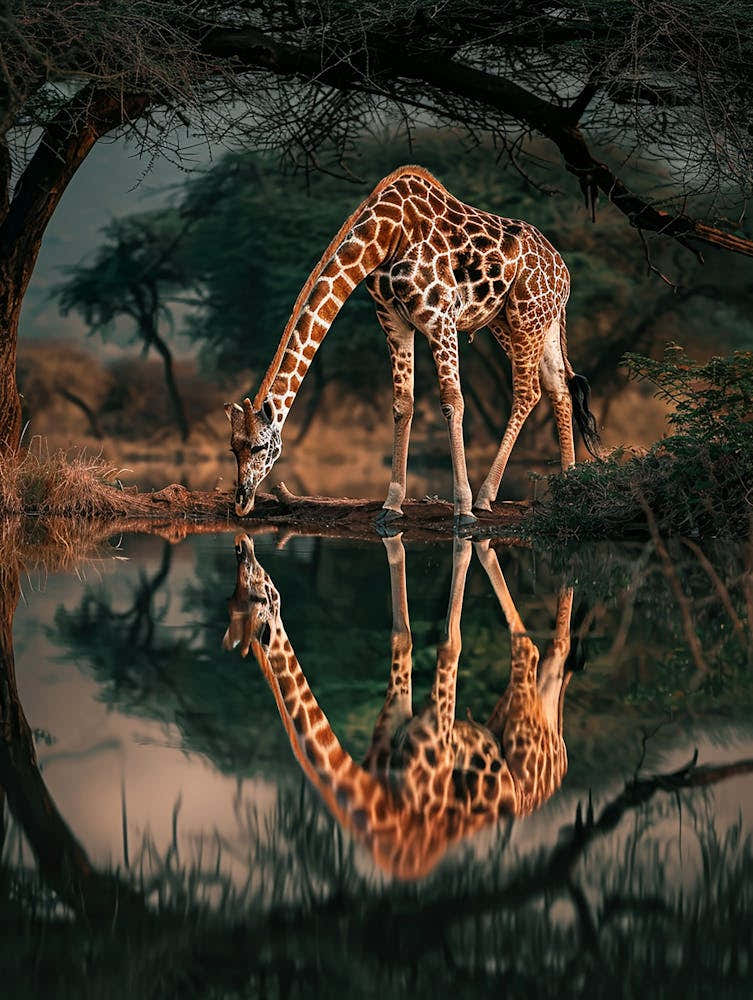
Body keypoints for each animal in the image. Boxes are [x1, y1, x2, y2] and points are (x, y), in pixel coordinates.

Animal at [223, 532, 579, 880]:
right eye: (233, 597)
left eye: (257, 593)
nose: (241, 543)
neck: (381, 802)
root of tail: (560, 766)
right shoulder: (397, 713)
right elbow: (402, 637)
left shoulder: (438, 737)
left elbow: (448, 643)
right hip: (521, 712)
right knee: (551, 653)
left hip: (522, 733)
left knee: (529, 650)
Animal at [225, 165, 600, 529]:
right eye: (233, 448)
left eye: (260, 447)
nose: (242, 503)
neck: (384, 236)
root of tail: (564, 271)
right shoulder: (392, 319)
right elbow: (402, 405)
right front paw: (391, 505)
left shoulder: (439, 316)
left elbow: (452, 402)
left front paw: (463, 509)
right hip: (522, 320)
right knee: (558, 385)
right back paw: (567, 486)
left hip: (526, 314)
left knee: (527, 390)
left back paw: (484, 496)